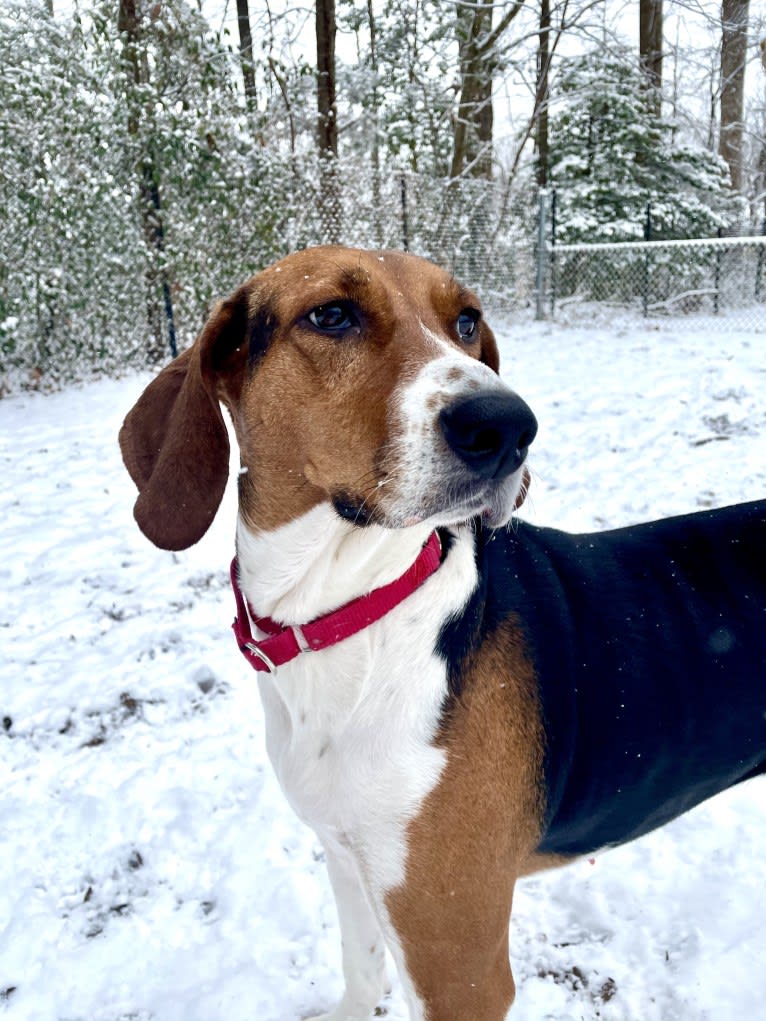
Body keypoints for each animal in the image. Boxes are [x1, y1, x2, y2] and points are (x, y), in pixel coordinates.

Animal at [120, 247, 766, 1021]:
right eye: (330, 315)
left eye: (465, 321)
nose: (509, 426)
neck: (349, 616)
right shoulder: (349, 859)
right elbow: (361, 972)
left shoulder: (458, 967)